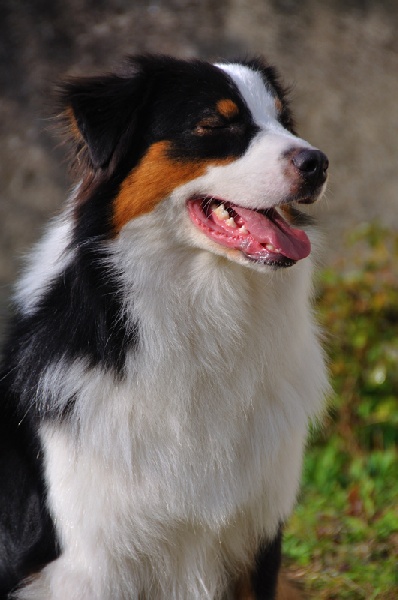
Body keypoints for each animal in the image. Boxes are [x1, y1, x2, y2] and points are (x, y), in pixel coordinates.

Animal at [0, 54, 330, 596]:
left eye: (285, 121)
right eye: (214, 124)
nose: (318, 163)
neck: (205, 311)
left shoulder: (255, 536)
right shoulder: (88, 561)